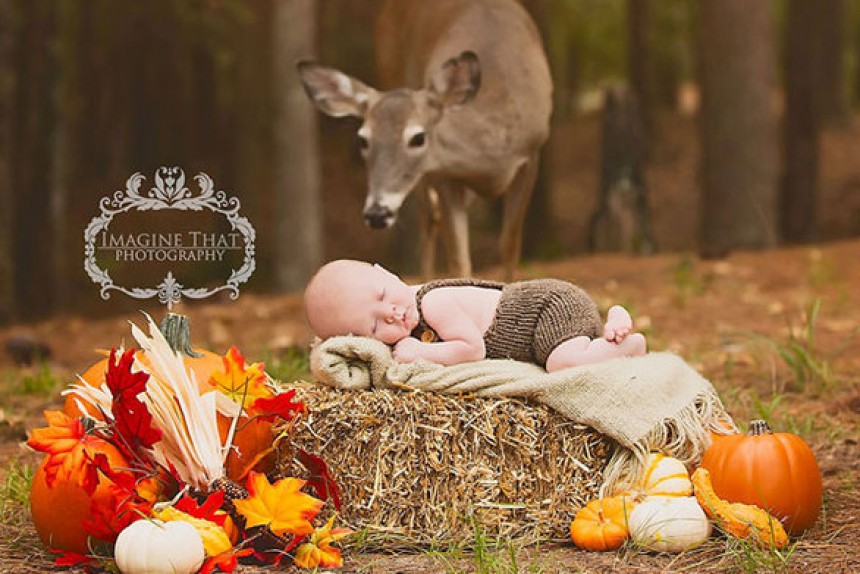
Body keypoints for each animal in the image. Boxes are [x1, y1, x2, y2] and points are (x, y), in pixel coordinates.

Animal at [298, 0, 552, 280]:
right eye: (363, 140)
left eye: (418, 137)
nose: (377, 213)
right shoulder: (443, 173)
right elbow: (459, 259)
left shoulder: (531, 156)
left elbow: (509, 244)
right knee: (429, 218)